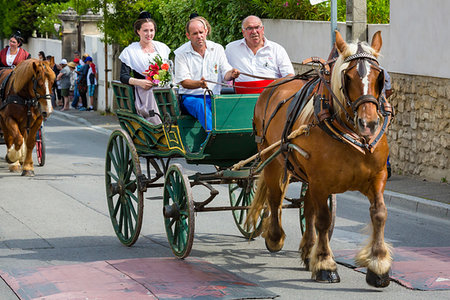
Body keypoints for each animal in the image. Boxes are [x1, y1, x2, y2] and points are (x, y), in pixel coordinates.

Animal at [246, 31, 394, 288]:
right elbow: (323, 220)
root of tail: (272, 85)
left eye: (379, 76)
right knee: (275, 198)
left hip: (306, 177)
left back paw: (308, 251)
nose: (369, 124)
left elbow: (379, 214)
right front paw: (325, 264)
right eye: (348, 76)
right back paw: (275, 237)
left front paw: (378, 265)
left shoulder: (377, 177)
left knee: (306, 208)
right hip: (271, 159)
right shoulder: (321, 181)